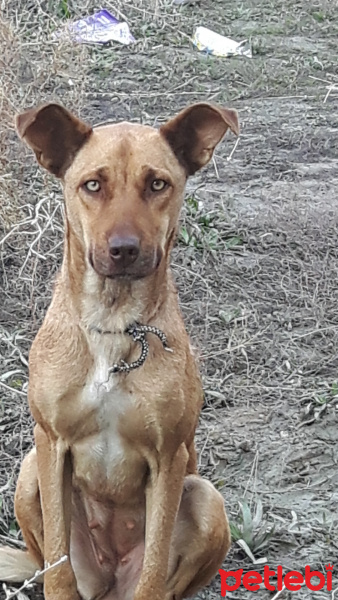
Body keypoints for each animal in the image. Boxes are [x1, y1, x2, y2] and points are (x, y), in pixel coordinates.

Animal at [0, 103, 238, 600]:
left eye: (158, 184)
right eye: (92, 184)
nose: (124, 250)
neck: (112, 324)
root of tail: (108, 584)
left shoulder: (169, 458)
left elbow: (153, 571)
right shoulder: (50, 443)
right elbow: (58, 567)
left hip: (206, 498)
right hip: (30, 471)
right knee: (51, 560)